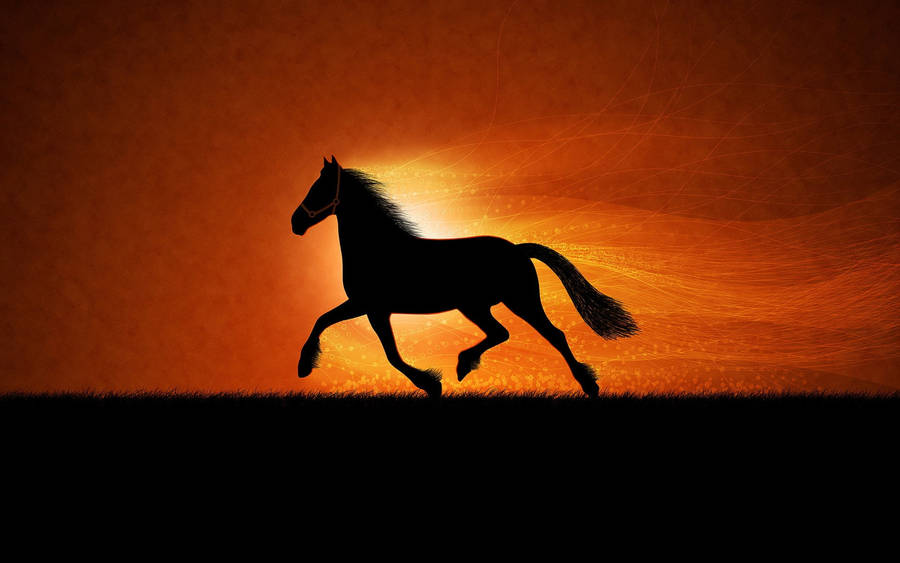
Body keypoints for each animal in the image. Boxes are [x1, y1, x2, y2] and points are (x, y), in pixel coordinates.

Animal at [291, 156, 639, 398]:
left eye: (319, 188)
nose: (295, 223)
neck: (377, 248)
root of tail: (517, 249)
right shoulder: (368, 307)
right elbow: (325, 321)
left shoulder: (371, 307)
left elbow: (388, 353)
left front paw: (431, 384)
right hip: (477, 306)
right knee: (501, 333)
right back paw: (464, 364)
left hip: (517, 301)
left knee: (553, 335)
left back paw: (588, 386)